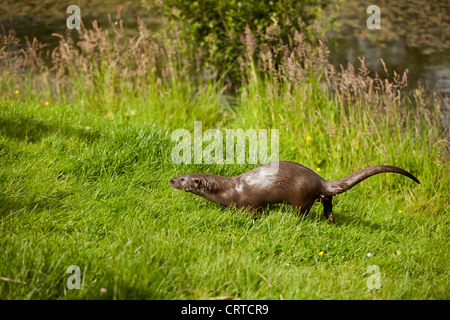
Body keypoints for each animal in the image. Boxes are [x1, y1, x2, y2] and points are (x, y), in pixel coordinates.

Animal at [169, 161, 418, 224]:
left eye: (183, 179)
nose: (171, 179)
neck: (229, 189)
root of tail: (320, 180)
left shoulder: (249, 203)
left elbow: (254, 213)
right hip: (323, 195)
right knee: (328, 202)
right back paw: (330, 220)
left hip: (300, 197)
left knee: (303, 212)